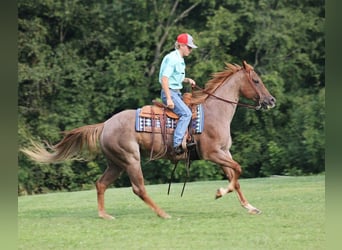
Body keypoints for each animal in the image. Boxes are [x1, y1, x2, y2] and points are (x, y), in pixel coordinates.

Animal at [20, 60, 276, 219]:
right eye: (255, 80)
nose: (271, 100)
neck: (214, 112)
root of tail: (105, 124)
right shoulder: (213, 154)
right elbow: (238, 171)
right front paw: (219, 192)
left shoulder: (225, 153)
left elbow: (236, 177)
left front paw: (250, 207)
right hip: (131, 159)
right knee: (139, 188)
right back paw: (163, 213)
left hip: (116, 163)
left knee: (101, 184)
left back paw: (105, 215)